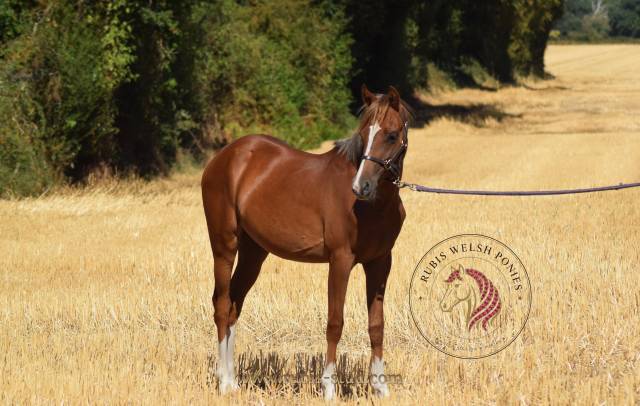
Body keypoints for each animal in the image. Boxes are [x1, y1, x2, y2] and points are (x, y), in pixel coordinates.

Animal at [201, 85, 412, 399]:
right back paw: (224, 383)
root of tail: (223, 157)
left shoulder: (380, 262)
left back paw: (233, 381)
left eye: (391, 134)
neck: (372, 206)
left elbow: (377, 325)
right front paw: (329, 388)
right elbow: (335, 323)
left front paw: (380, 388)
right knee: (222, 304)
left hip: (254, 253)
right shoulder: (340, 260)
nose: (361, 187)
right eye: (364, 133)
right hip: (224, 245)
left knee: (234, 305)